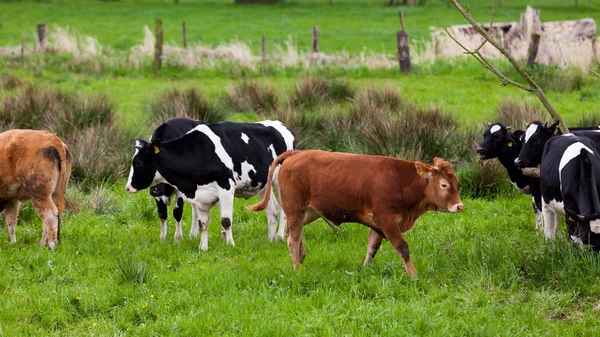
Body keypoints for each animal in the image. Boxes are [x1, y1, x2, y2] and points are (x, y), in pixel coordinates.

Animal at [126, 119, 296, 249]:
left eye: (138, 163)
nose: (127, 187)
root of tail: (282, 125)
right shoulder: (201, 194)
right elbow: (203, 224)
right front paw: (203, 247)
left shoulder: (226, 189)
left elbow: (226, 220)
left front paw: (230, 244)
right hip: (263, 186)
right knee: (272, 211)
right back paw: (271, 240)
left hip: (279, 181)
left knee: (284, 209)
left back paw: (281, 237)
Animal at [248, 150, 464, 276]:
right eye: (444, 185)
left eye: (456, 183)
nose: (459, 206)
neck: (401, 182)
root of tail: (297, 154)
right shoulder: (387, 221)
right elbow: (402, 247)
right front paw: (413, 275)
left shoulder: (377, 225)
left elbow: (372, 248)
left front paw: (365, 270)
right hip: (295, 208)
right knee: (292, 237)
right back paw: (296, 268)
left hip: (308, 212)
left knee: (294, 234)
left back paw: (301, 257)